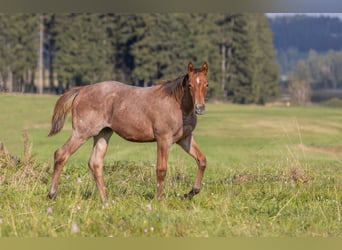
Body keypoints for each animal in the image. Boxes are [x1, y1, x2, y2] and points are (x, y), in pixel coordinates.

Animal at [47, 61, 208, 202]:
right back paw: (52, 194)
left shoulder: (185, 139)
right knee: (61, 154)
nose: (199, 108)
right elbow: (161, 169)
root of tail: (82, 89)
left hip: (103, 133)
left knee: (95, 163)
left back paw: (105, 200)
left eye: (206, 84)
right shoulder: (164, 139)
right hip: (82, 133)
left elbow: (202, 160)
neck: (177, 105)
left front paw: (191, 192)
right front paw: (159, 200)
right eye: (190, 85)